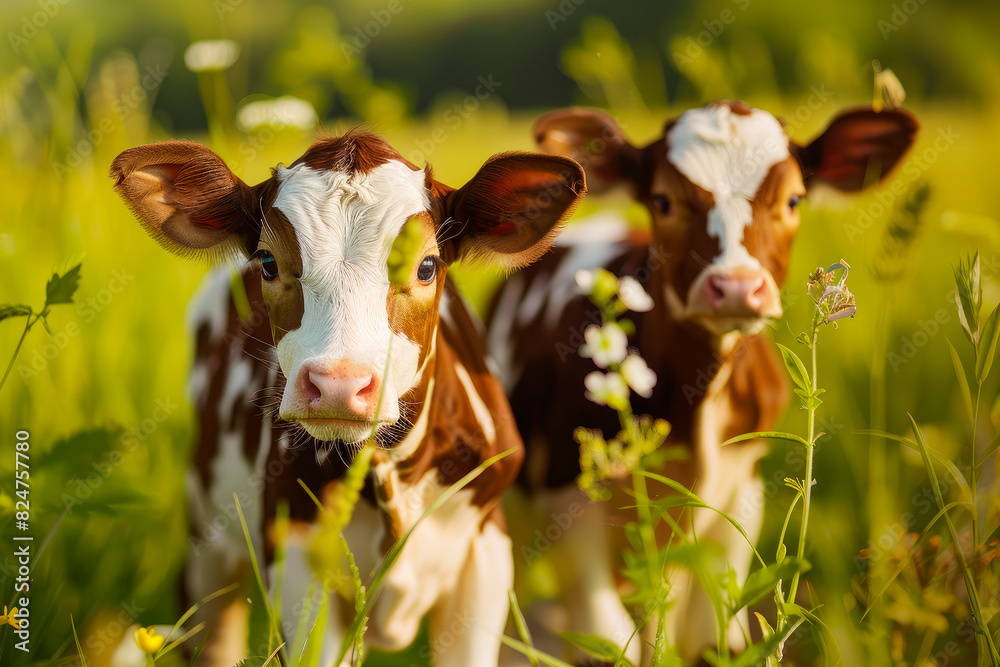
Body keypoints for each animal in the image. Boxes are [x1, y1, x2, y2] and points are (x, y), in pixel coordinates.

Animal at [111, 132, 584, 667]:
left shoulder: (484, 552)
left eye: (427, 266)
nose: (338, 384)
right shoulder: (296, 556)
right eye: (268, 263)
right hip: (206, 535)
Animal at [488, 100, 916, 664]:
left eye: (794, 199)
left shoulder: (740, 493)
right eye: (663, 200)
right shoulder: (568, 504)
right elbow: (607, 641)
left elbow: (710, 638)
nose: (735, 287)